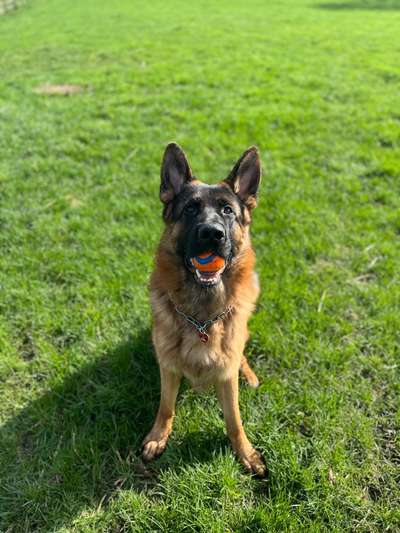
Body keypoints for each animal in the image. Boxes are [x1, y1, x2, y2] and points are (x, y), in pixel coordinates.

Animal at [142, 143, 268, 476]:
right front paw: (158, 437)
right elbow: (166, 406)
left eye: (227, 211)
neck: (201, 318)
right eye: (189, 209)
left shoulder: (225, 377)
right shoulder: (169, 368)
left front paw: (246, 453)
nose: (212, 233)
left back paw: (248, 373)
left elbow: (234, 420)